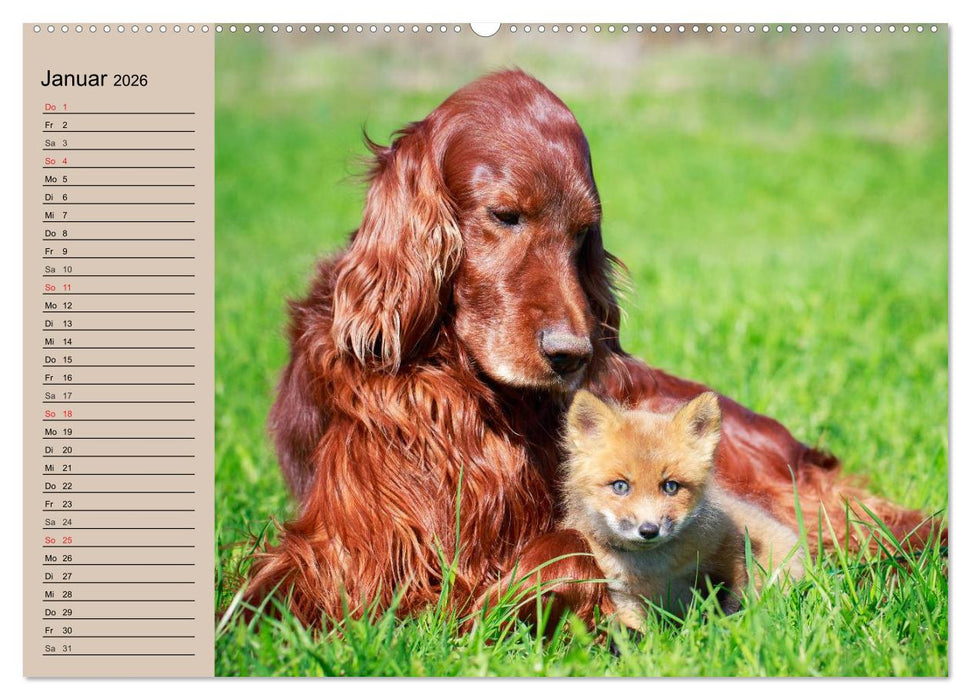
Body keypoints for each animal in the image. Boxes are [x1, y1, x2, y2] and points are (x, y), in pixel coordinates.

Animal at [561, 390, 804, 630]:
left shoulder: (728, 550)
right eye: (620, 486)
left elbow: (729, 605)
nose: (649, 530)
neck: (654, 570)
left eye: (671, 486)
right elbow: (637, 631)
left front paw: (718, 629)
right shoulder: (620, 593)